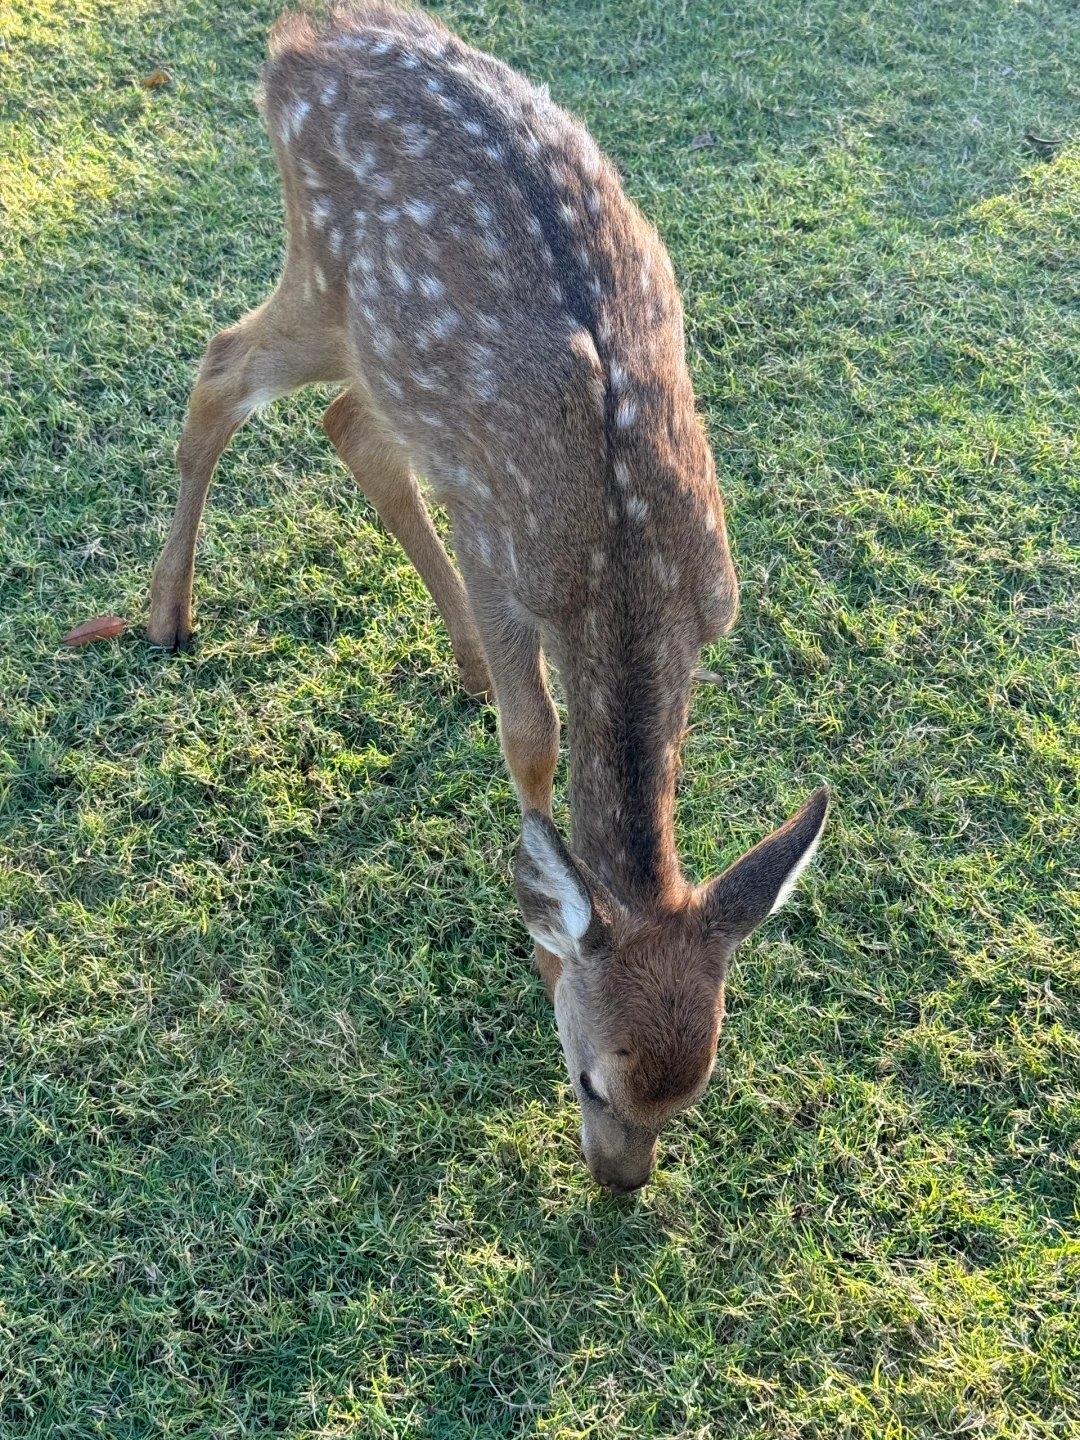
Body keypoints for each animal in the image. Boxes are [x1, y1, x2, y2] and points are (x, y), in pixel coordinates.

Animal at [148, 2, 835, 1192]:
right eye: (589, 1080)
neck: (625, 569)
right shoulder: (503, 554)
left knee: (347, 424)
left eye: (695, 1089)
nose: (619, 1185)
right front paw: (538, 921)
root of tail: (298, 37)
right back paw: (165, 616)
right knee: (224, 364)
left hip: (382, 349)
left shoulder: (711, 606)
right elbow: (534, 738)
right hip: (326, 279)